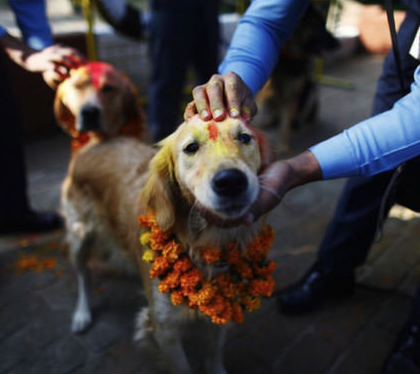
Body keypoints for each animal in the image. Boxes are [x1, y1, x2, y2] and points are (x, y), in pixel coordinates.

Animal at [62, 115, 272, 372]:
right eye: (191, 147)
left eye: (244, 137)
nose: (231, 181)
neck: (203, 242)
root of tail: (97, 142)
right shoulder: (163, 329)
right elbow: (182, 367)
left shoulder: (224, 306)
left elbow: (214, 353)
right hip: (79, 234)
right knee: (83, 274)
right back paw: (82, 314)